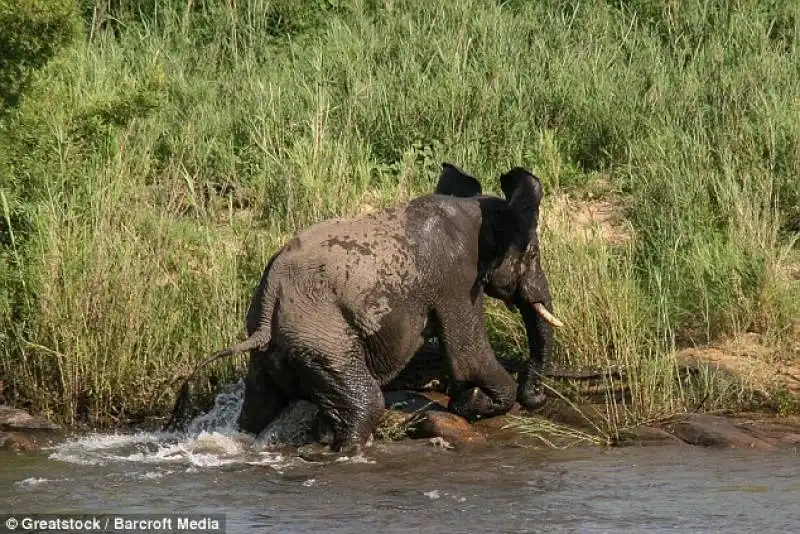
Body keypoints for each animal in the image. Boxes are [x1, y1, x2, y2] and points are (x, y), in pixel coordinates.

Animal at [165, 162, 560, 452]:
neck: (477, 210)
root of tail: (266, 306)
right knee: (366, 402)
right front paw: (471, 404)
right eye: (533, 254)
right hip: (322, 339)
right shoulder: (455, 280)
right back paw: (342, 450)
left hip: (272, 353)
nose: (540, 396)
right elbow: (469, 356)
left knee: (258, 409)